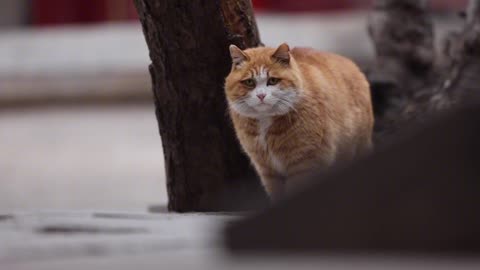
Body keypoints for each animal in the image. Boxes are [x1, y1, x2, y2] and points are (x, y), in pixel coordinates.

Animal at [225, 43, 376, 200]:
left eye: (272, 80)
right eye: (249, 82)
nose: (261, 95)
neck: (265, 120)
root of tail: (351, 63)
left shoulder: (303, 166)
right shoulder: (269, 172)